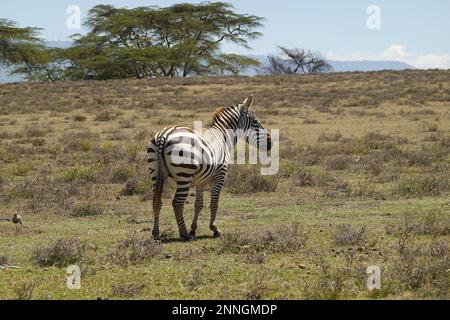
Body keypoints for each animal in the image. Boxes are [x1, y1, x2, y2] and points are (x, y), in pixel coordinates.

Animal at [147, 95, 270, 240]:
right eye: (255, 122)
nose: (270, 143)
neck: (223, 135)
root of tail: (164, 135)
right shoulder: (220, 175)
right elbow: (214, 202)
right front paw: (214, 229)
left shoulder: (201, 179)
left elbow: (198, 204)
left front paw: (193, 229)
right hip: (184, 175)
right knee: (177, 203)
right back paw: (184, 234)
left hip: (155, 173)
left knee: (156, 201)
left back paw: (156, 233)